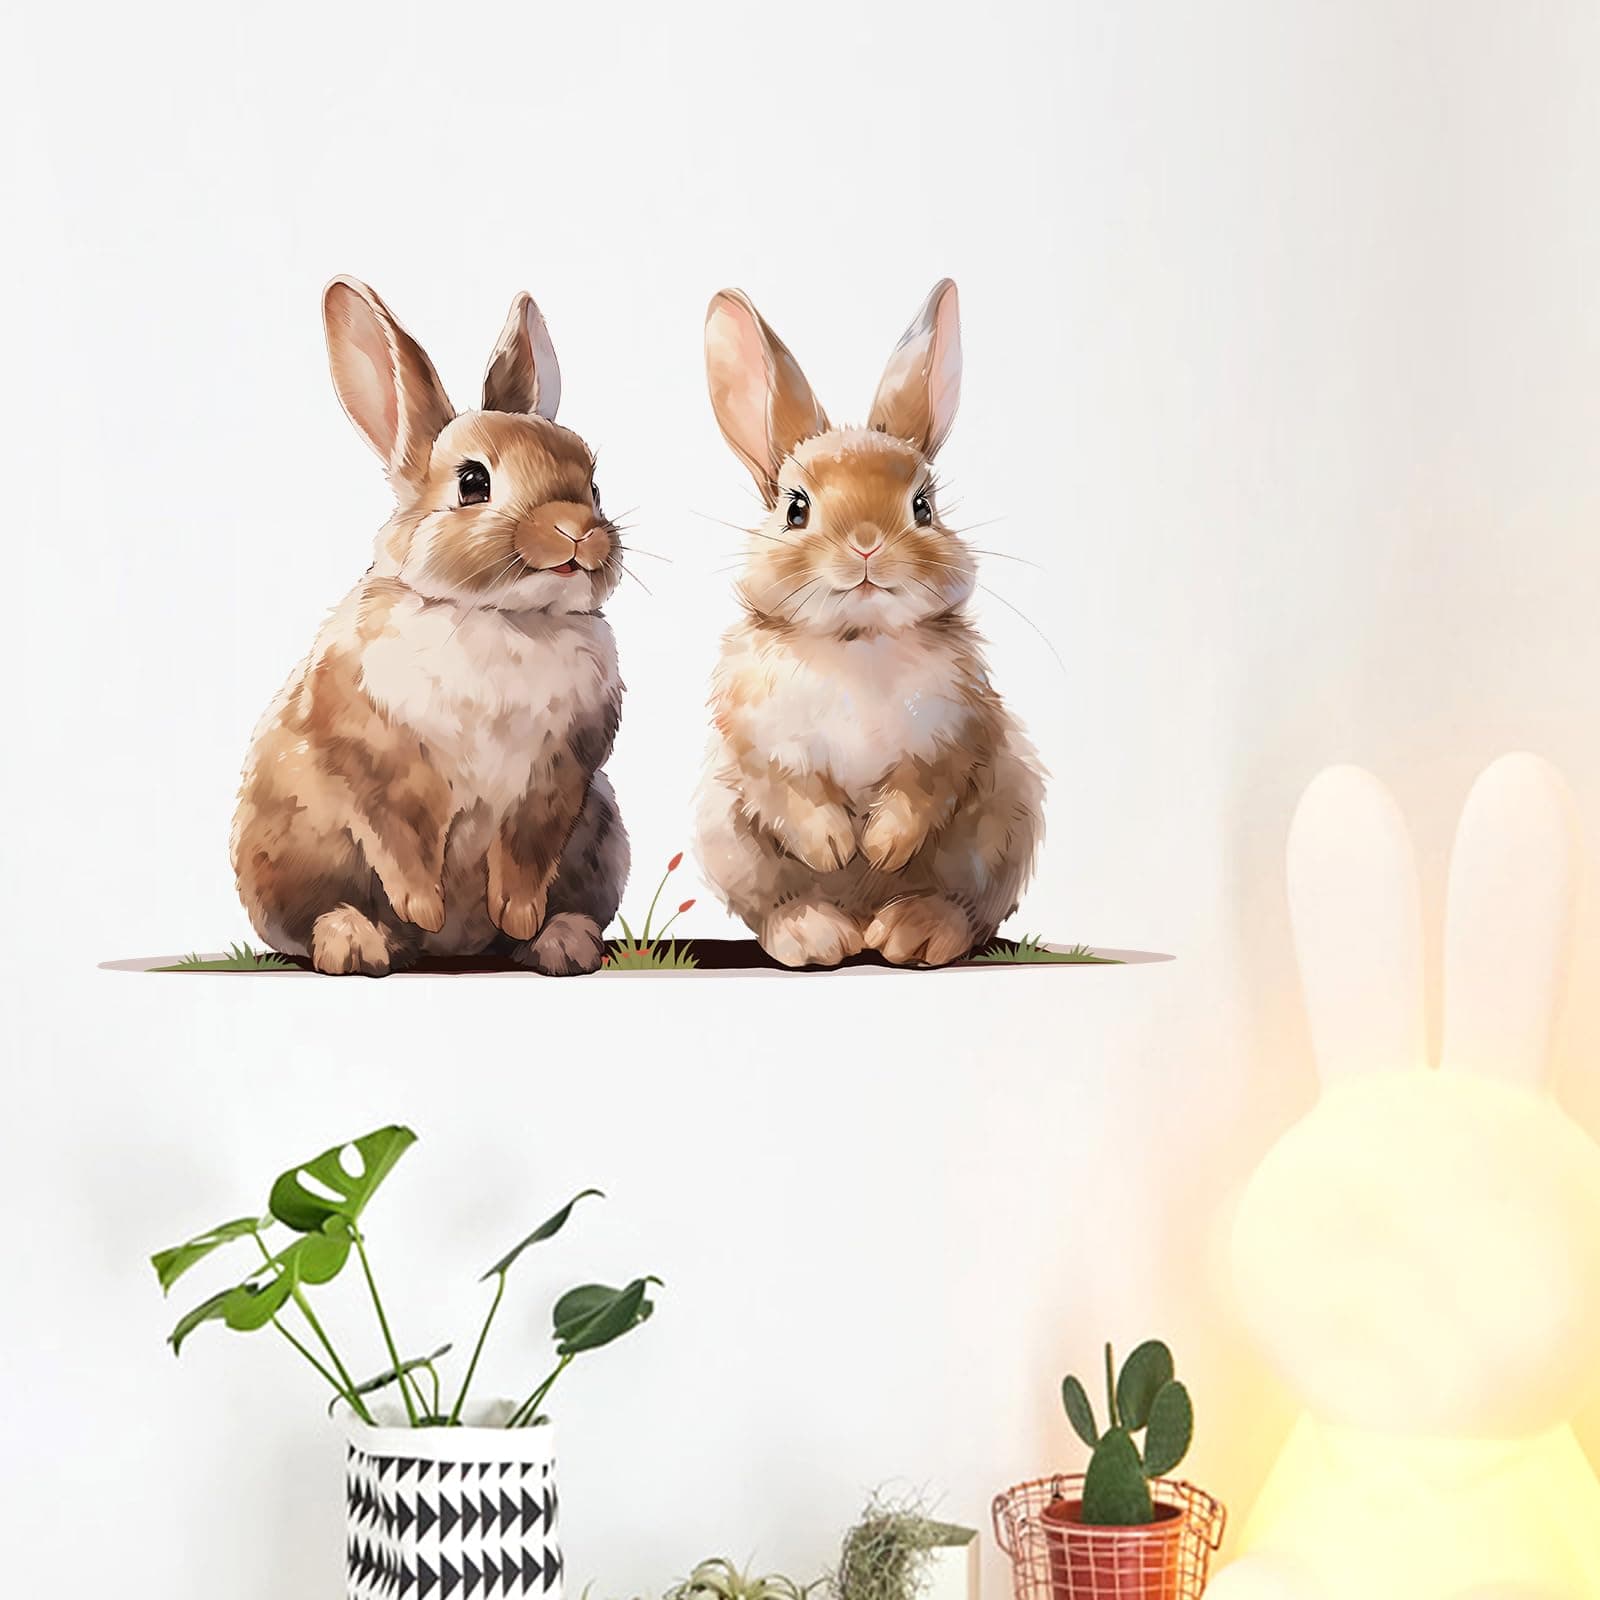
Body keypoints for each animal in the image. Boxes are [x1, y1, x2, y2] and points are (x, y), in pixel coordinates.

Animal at [231, 277, 629, 977]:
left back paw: (561, 942)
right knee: (315, 920)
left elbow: (526, 855)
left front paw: (519, 916)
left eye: (594, 485)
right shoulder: (380, 768)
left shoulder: (559, 780)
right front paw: (423, 908)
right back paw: (358, 942)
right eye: (473, 482)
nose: (580, 532)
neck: (505, 617)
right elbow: (403, 840)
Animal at [694, 280, 1045, 969]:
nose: (865, 544)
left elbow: (922, 793)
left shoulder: (954, 736)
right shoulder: (762, 749)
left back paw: (911, 930)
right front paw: (836, 848)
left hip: (1004, 821)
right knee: (776, 908)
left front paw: (880, 849)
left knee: (968, 909)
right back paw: (818, 934)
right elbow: (793, 797)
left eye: (923, 507)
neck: (858, 642)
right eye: (796, 509)